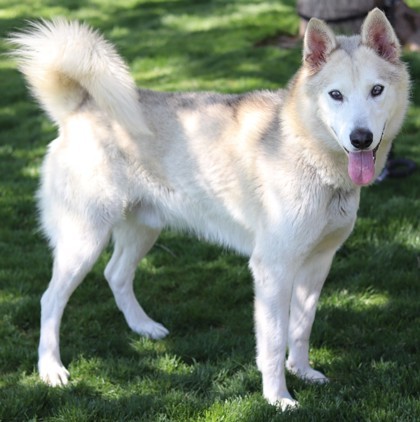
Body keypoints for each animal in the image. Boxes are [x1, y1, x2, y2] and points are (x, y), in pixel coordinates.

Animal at [11, 8, 408, 410]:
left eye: (376, 90)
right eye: (336, 95)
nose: (361, 139)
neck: (308, 152)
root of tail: (79, 108)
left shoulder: (317, 265)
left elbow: (301, 328)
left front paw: (302, 371)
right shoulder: (273, 270)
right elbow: (273, 342)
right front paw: (277, 396)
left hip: (142, 231)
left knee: (115, 275)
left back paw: (144, 327)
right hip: (84, 243)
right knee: (50, 300)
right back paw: (50, 369)